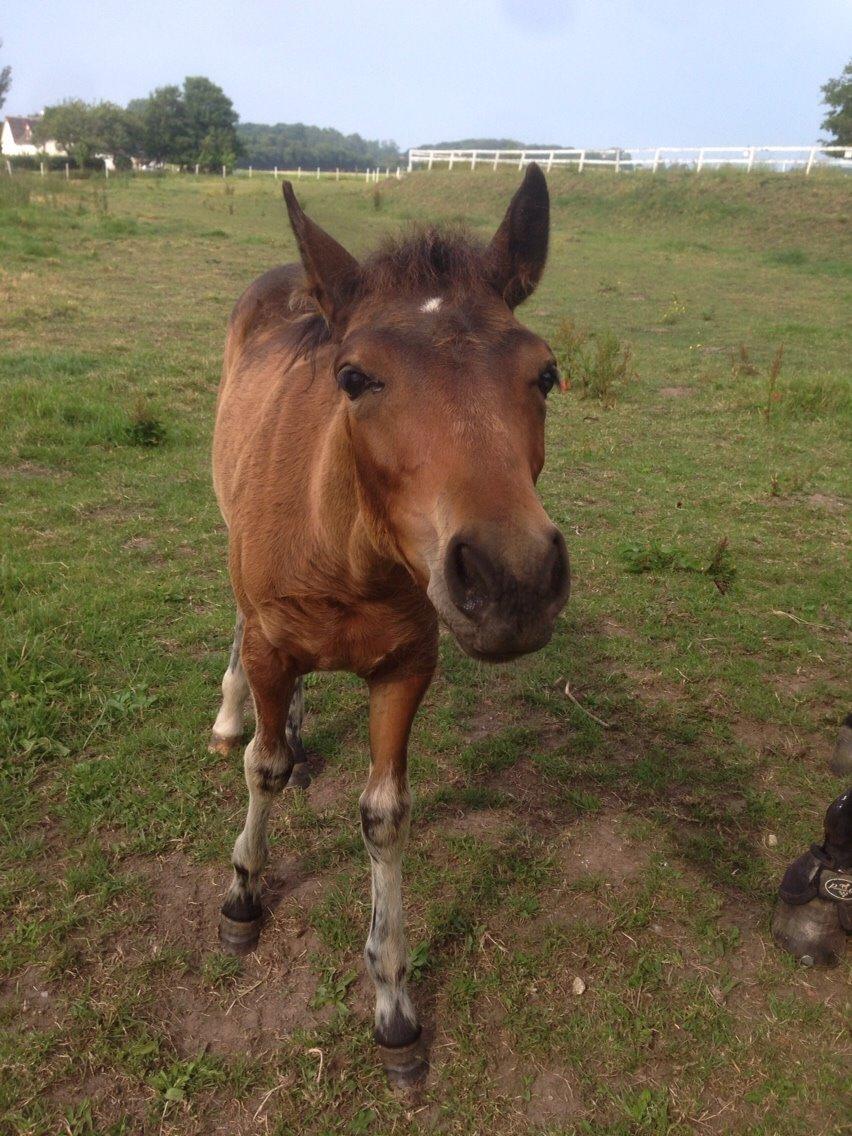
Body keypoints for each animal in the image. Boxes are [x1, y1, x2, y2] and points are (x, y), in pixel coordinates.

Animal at [212, 162, 570, 1081]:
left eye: (546, 374)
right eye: (354, 378)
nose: (513, 578)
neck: (346, 554)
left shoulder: (408, 665)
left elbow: (384, 815)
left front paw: (393, 1003)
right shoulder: (272, 641)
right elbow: (261, 768)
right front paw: (243, 894)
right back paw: (234, 713)